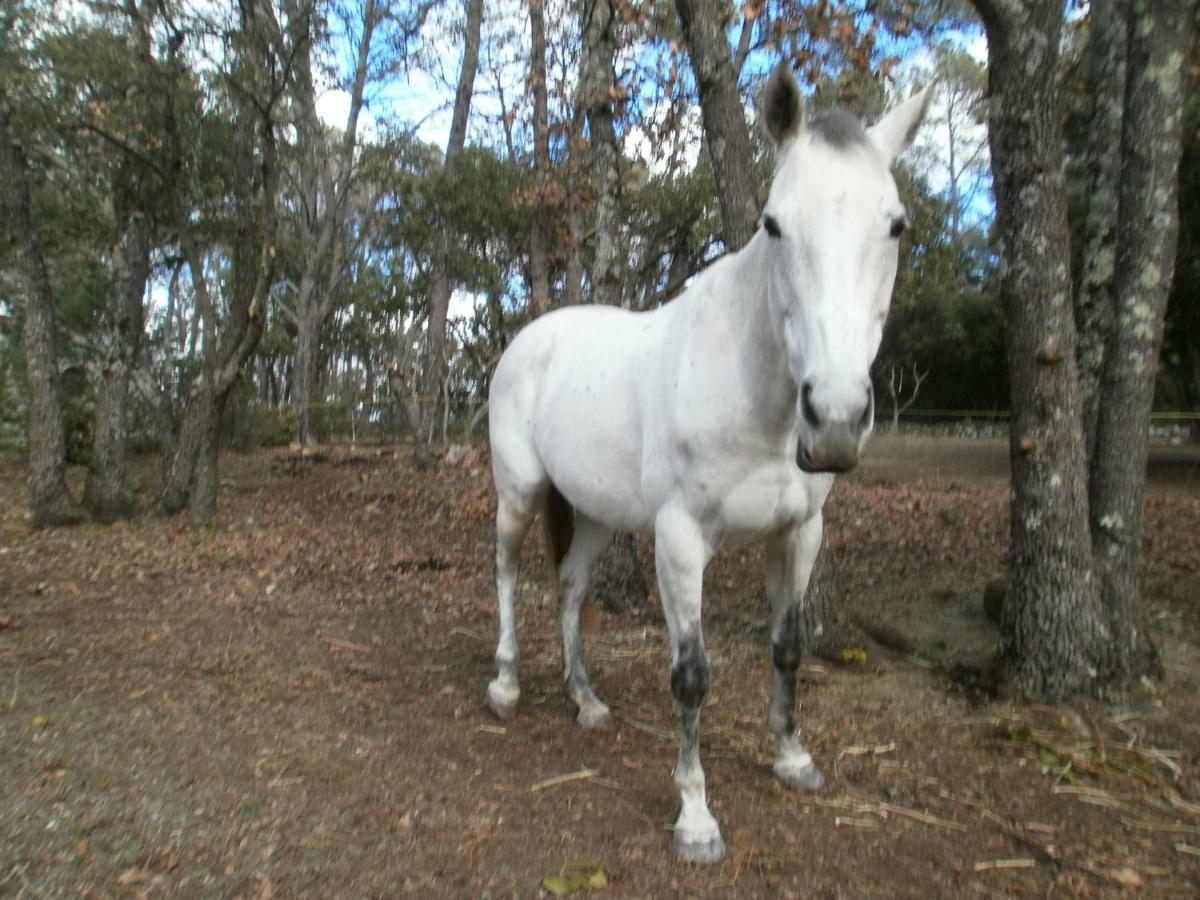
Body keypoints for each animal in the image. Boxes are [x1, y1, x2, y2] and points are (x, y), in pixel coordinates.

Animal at [482, 65, 931, 868]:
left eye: (896, 225)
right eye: (774, 224)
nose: (836, 419)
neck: (756, 392)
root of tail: (533, 337)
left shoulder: (799, 533)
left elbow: (788, 646)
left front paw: (793, 758)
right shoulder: (682, 540)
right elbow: (691, 677)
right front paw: (695, 818)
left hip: (594, 514)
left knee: (568, 588)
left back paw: (586, 700)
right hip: (521, 492)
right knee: (506, 571)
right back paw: (504, 686)